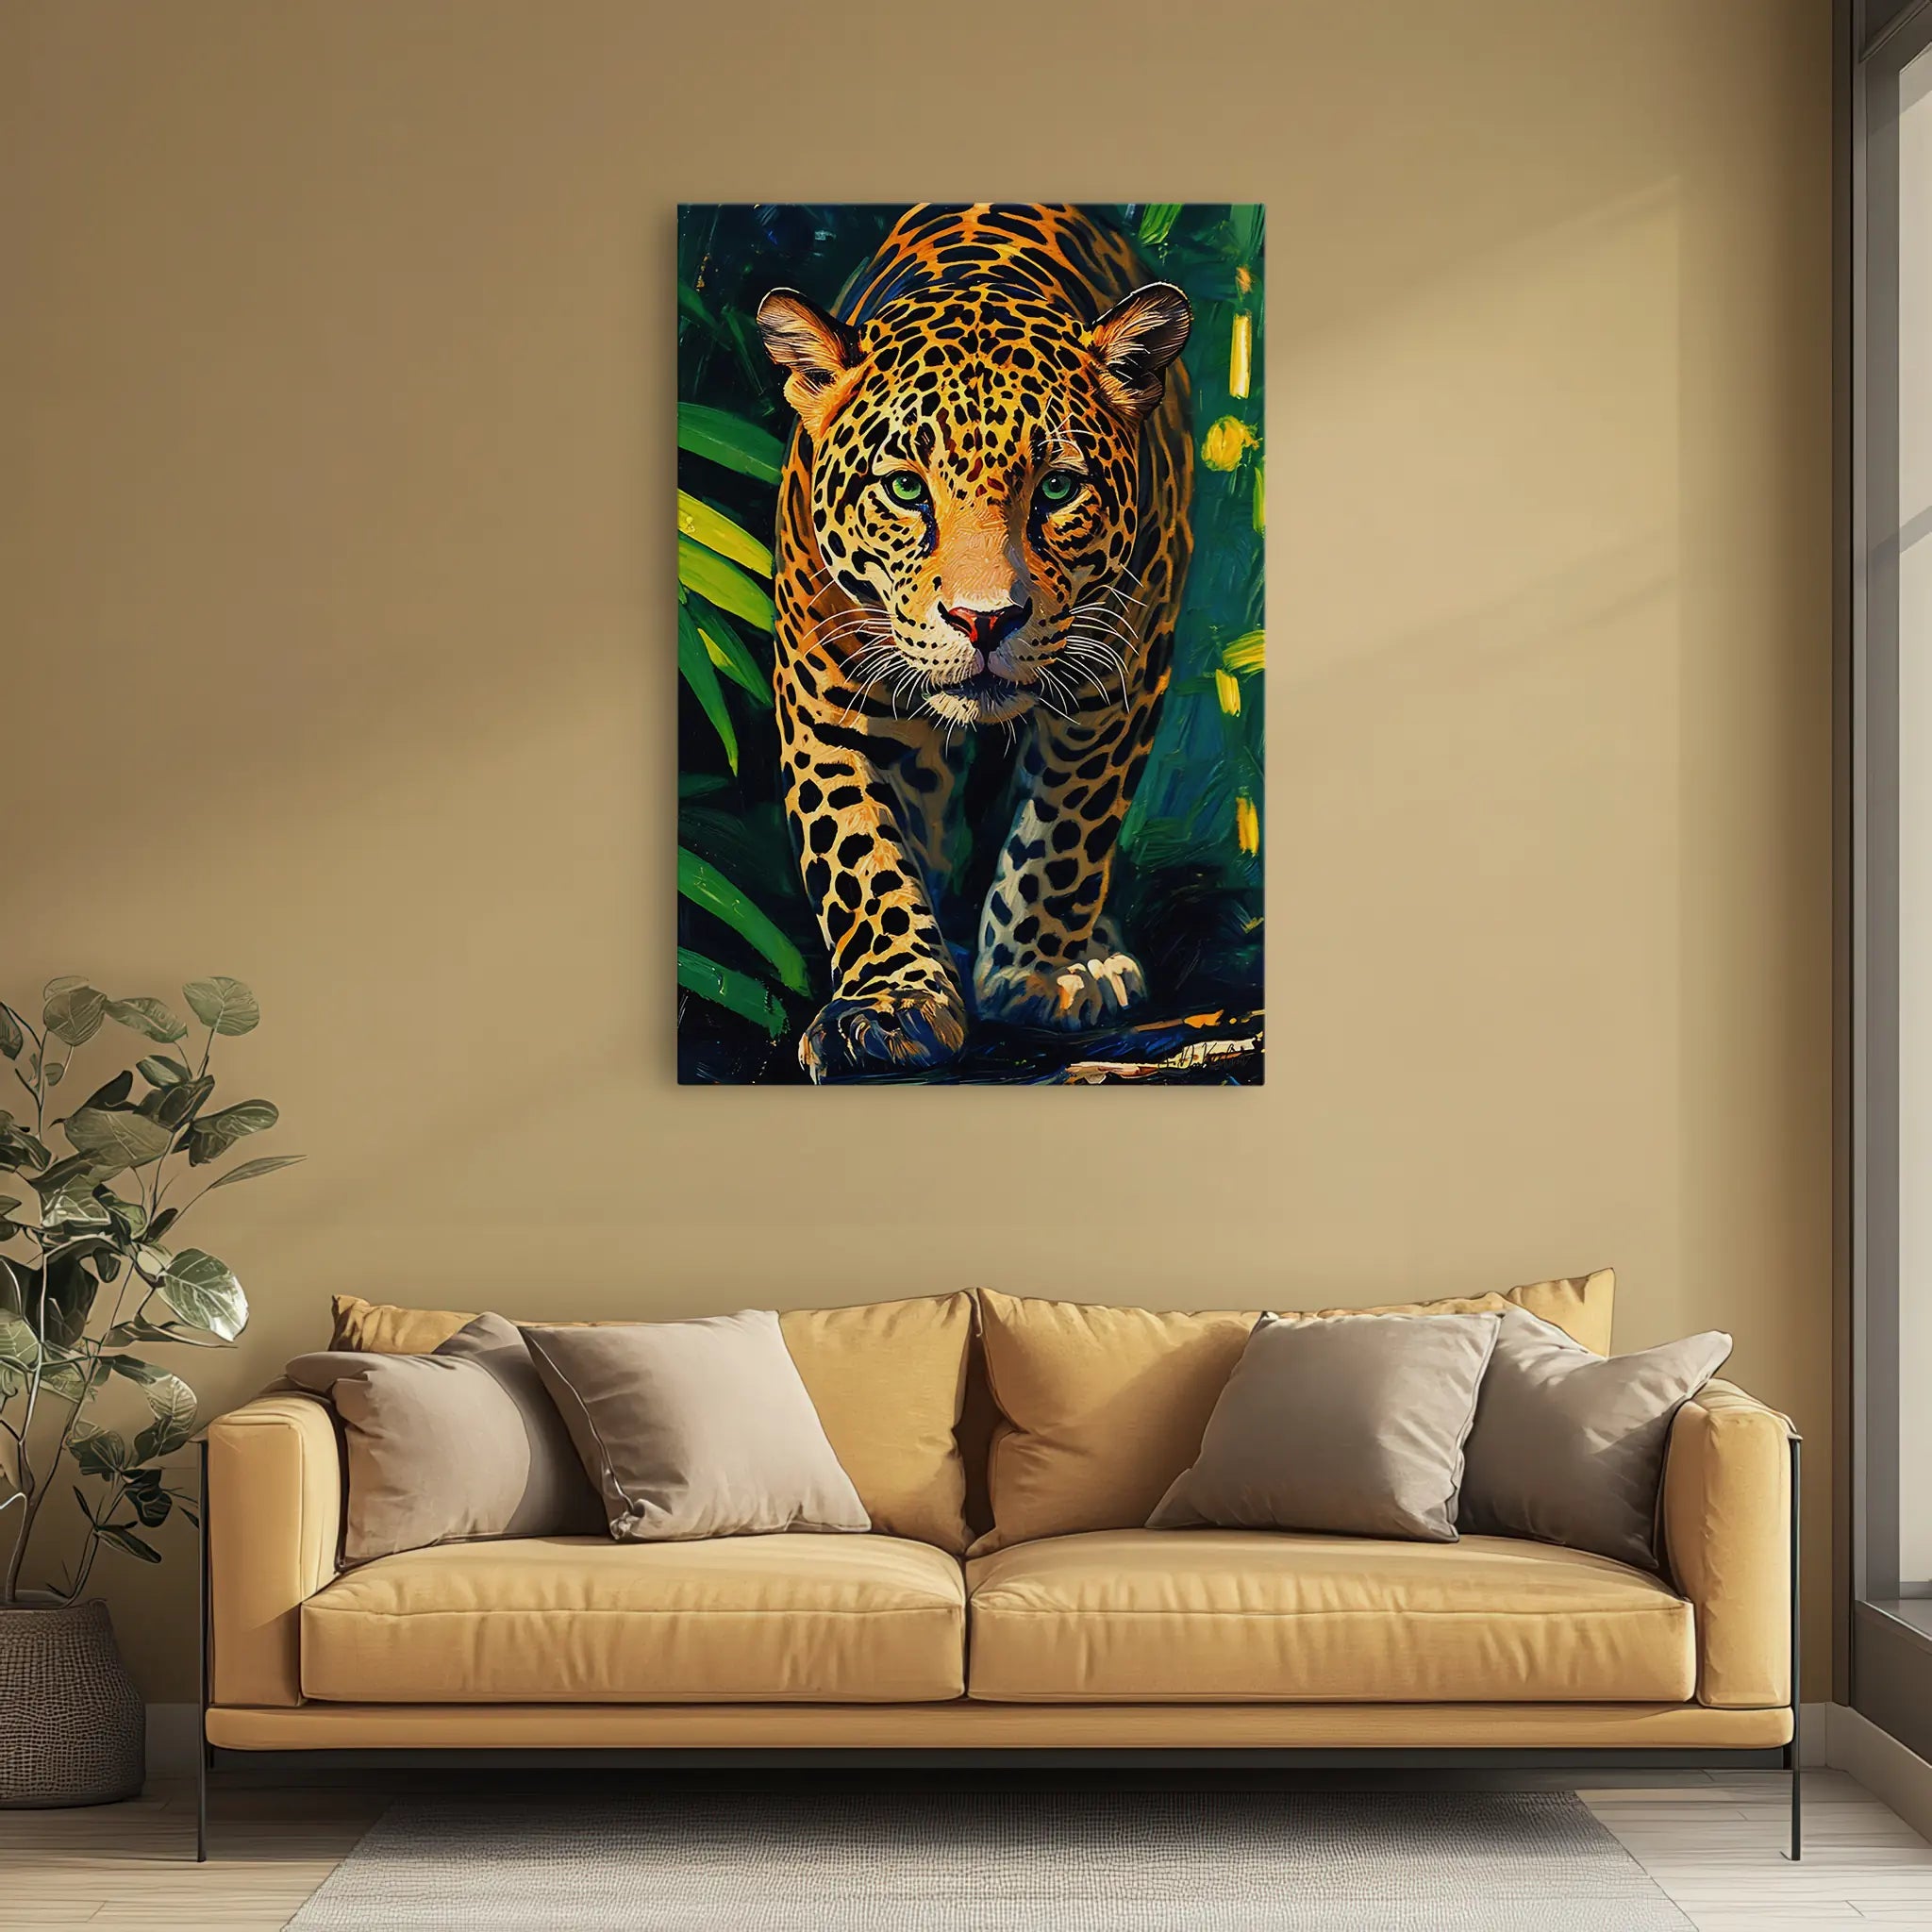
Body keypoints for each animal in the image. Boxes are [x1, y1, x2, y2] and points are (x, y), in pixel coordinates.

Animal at [756, 203, 1194, 1082]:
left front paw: (1037, 973)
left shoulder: (1120, 676)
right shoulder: (823, 693)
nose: (984, 620)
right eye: (904, 488)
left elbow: (1067, 828)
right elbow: (856, 847)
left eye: (1057, 488)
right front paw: (891, 1004)